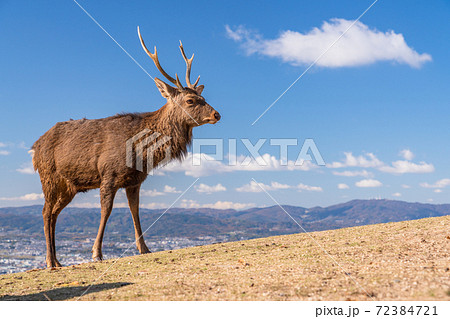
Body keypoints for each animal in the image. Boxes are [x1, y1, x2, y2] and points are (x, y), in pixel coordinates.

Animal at [30, 26, 221, 268]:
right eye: (190, 100)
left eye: (202, 96)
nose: (216, 114)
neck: (142, 151)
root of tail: (35, 146)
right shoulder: (108, 174)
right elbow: (106, 211)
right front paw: (97, 253)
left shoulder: (135, 180)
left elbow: (135, 211)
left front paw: (145, 248)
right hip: (49, 176)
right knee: (46, 211)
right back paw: (49, 261)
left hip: (70, 185)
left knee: (54, 213)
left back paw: (57, 260)